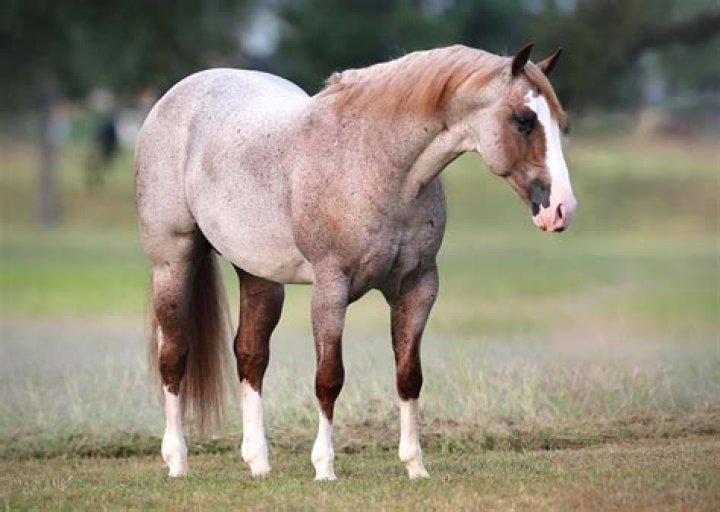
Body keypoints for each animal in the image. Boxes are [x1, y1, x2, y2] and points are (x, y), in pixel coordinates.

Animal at [134, 43, 577, 480]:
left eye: (560, 122)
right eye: (524, 120)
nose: (561, 210)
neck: (373, 161)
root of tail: (176, 97)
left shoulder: (418, 286)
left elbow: (409, 375)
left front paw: (415, 465)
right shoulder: (331, 287)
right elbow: (329, 377)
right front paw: (324, 467)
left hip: (258, 275)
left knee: (250, 356)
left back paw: (258, 462)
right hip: (172, 262)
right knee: (173, 356)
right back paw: (177, 460)